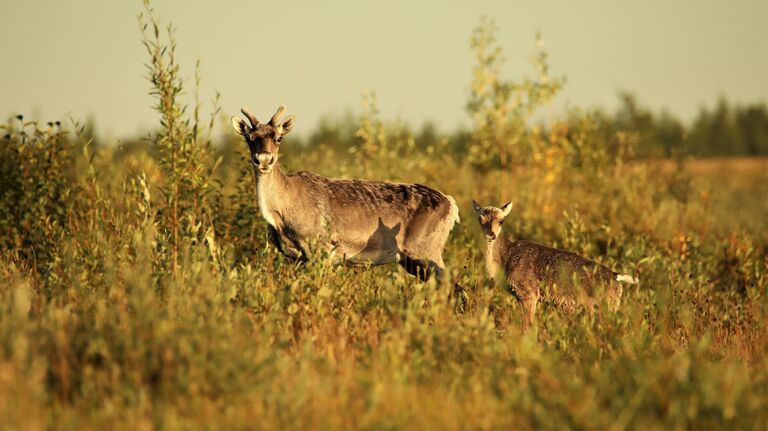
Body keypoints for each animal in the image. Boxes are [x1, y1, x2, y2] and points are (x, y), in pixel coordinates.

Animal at [234, 106, 460, 282]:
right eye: (249, 138)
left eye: (279, 137)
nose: (264, 159)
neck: (282, 215)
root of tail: (452, 205)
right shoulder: (295, 256)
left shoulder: (322, 248)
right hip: (412, 260)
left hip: (426, 249)